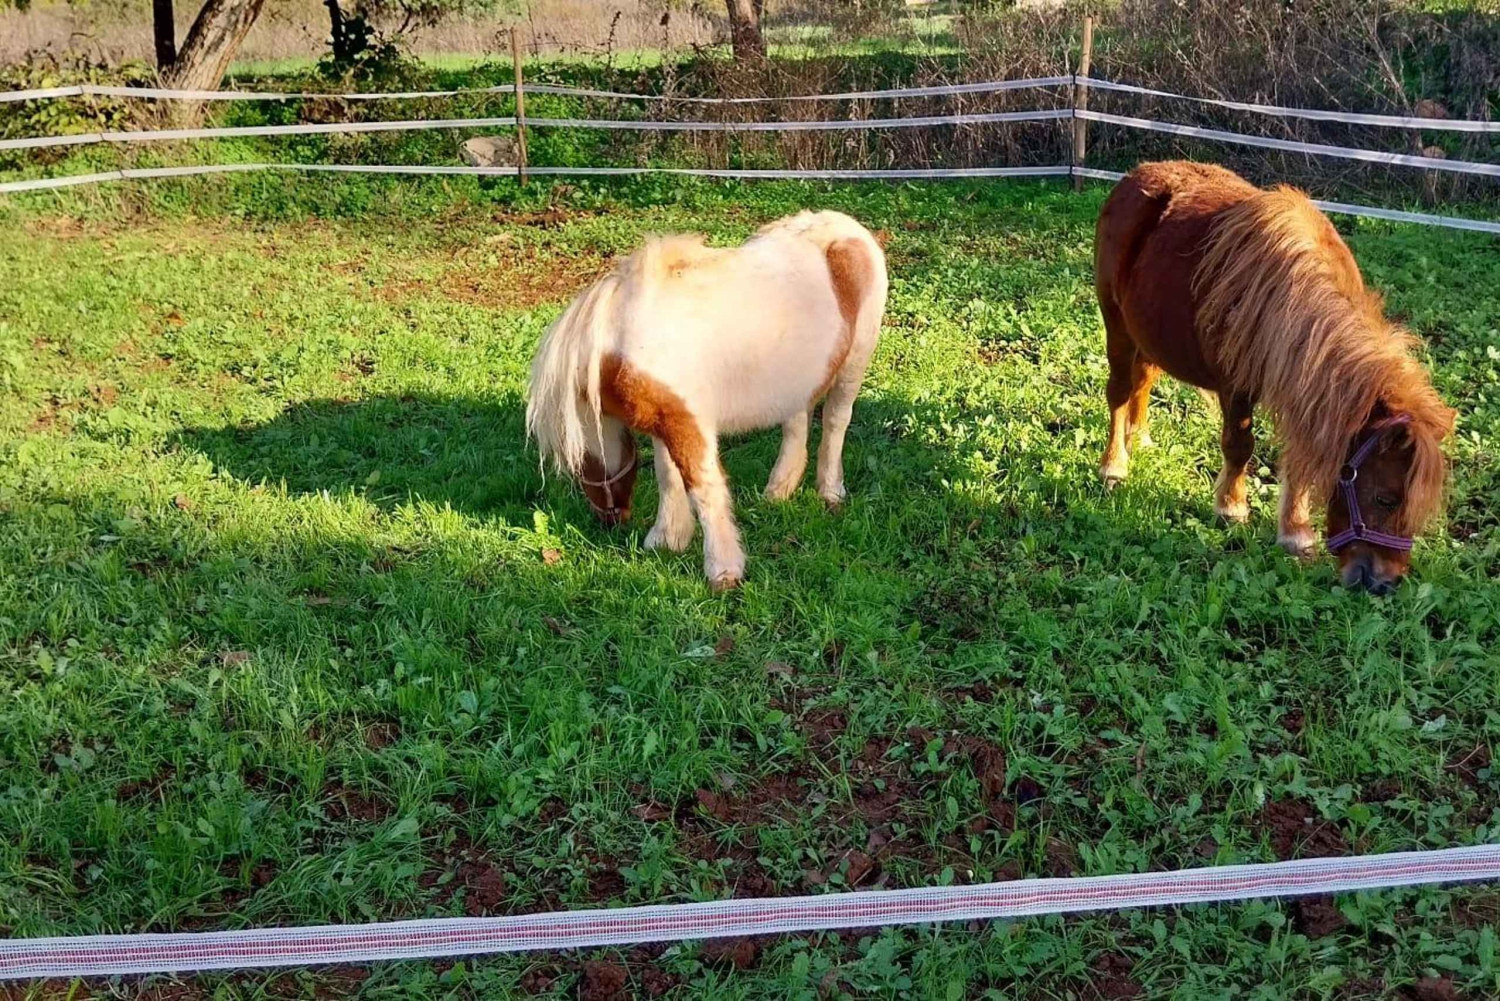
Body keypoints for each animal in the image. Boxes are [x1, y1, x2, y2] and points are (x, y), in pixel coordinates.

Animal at [526, 210, 888, 591]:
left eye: (580, 462)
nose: (608, 520)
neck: (628, 339)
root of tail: (846, 227)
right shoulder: (664, 419)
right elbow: (667, 475)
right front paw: (667, 539)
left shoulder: (690, 423)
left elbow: (702, 486)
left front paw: (723, 571)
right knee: (797, 422)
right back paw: (778, 490)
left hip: (855, 362)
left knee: (836, 420)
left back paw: (830, 493)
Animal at [1094, 161, 1454, 593]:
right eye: (1387, 499)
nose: (1385, 583)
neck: (1292, 298)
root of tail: (1136, 176)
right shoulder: (1236, 386)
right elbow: (1239, 447)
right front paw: (1231, 508)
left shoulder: (1304, 389)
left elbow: (1297, 460)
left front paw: (1295, 534)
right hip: (1116, 323)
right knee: (1119, 392)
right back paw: (1114, 465)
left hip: (1148, 333)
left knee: (1143, 382)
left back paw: (1140, 436)